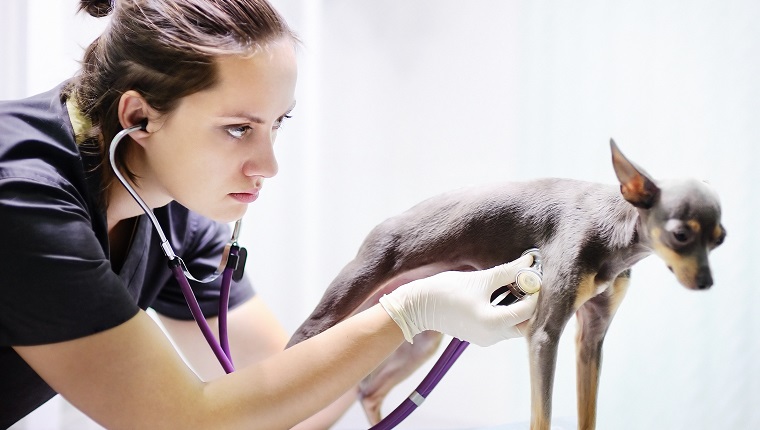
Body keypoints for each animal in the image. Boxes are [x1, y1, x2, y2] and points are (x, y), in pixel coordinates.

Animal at [288, 139, 728, 428]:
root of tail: (386, 222)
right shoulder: (544, 336)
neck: (613, 234)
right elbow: (541, 415)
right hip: (336, 313)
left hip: (412, 337)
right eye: (681, 235)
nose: (707, 283)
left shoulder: (591, 340)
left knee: (368, 391)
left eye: (720, 238)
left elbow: (587, 415)